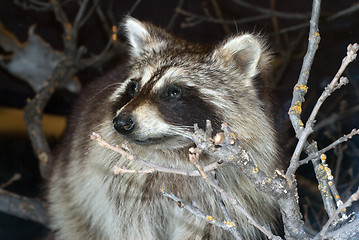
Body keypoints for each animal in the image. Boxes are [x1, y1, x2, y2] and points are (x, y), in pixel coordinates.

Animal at [47, 16, 284, 240]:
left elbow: (205, 229)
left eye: (173, 92)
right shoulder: (119, 188)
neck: (173, 150)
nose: (121, 123)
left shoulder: (221, 198)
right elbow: (129, 226)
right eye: (134, 87)